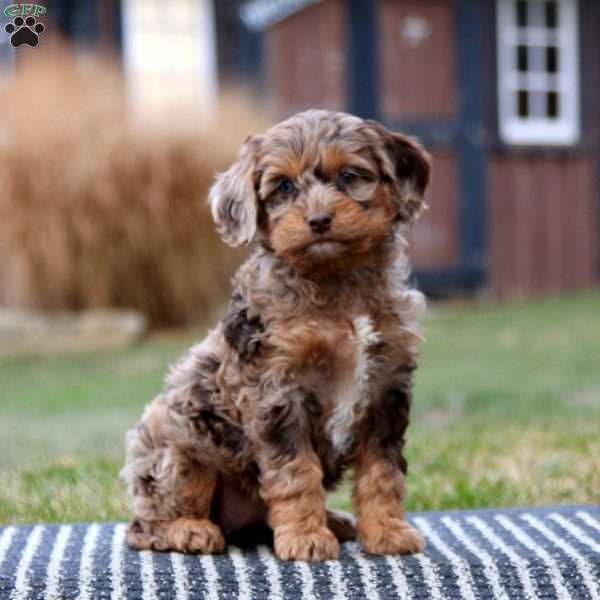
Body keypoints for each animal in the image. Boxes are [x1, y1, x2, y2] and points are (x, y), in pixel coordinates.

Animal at [120, 109, 432, 564]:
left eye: (349, 176)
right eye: (284, 186)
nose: (318, 221)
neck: (337, 282)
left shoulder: (386, 390)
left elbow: (383, 471)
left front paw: (388, 532)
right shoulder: (278, 393)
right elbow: (296, 473)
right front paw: (305, 537)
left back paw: (336, 521)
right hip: (178, 448)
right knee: (143, 525)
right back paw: (191, 530)